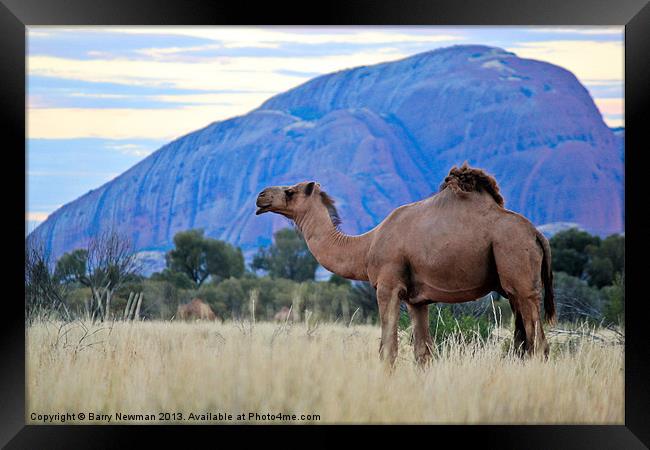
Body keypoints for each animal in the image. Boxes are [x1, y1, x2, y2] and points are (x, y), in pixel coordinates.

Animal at [256, 163, 556, 368]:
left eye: (290, 191)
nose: (261, 196)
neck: (365, 246)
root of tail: (537, 234)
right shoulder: (417, 299)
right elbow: (423, 353)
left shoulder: (388, 286)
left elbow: (388, 349)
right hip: (512, 287)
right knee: (523, 342)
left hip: (519, 271)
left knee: (538, 343)